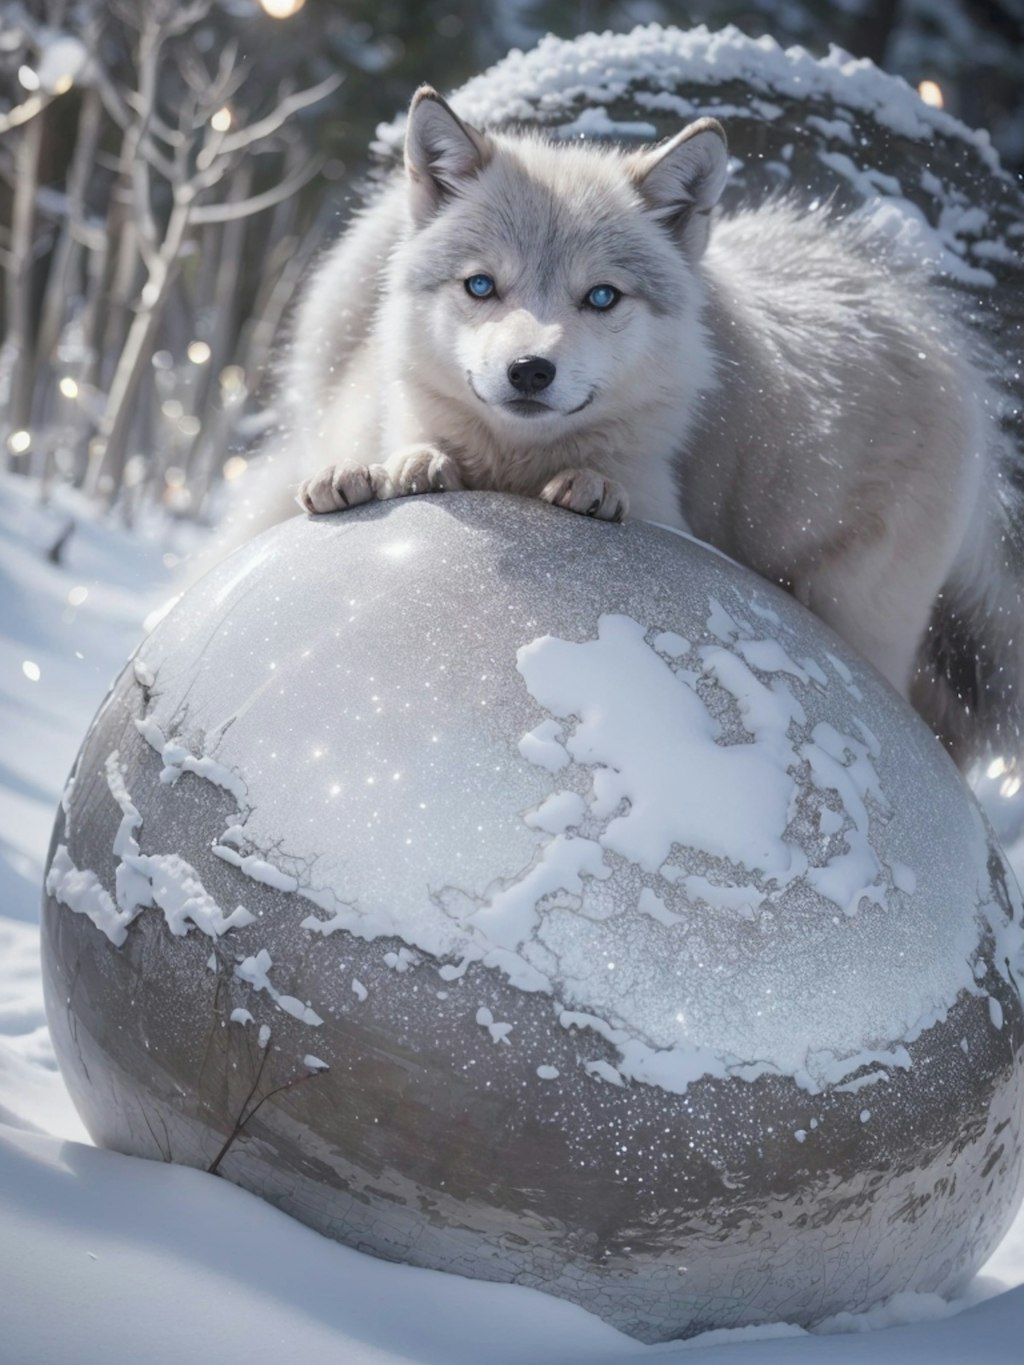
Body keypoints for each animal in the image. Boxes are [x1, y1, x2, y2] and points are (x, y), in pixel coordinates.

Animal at [290, 85, 1024, 769]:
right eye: (480, 286)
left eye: (602, 296)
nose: (530, 370)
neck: (515, 464)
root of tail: (925, 322)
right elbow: (406, 456)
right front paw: (367, 473)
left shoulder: (673, 518)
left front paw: (591, 486)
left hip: (861, 615)